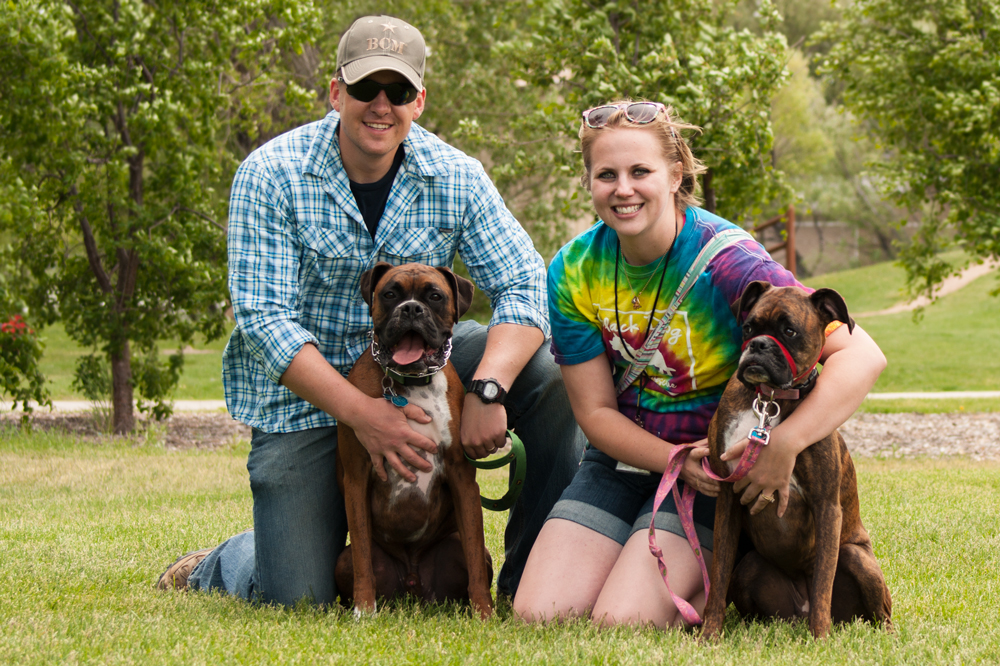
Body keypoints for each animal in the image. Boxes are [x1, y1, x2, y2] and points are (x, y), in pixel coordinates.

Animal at [334, 260, 494, 616]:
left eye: (435, 296)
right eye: (390, 294)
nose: (410, 309)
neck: (412, 382)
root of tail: (412, 582)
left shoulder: (462, 478)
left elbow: (475, 556)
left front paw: (483, 612)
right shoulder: (355, 477)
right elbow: (363, 554)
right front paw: (364, 609)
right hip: (342, 560)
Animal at [700, 282, 896, 640]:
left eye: (789, 331)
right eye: (748, 328)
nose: (759, 345)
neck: (768, 402)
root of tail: (796, 614)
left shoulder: (827, 507)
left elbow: (822, 584)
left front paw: (821, 639)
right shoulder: (728, 500)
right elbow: (718, 574)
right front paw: (709, 634)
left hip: (857, 559)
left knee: (878, 614)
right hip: (748, 567)